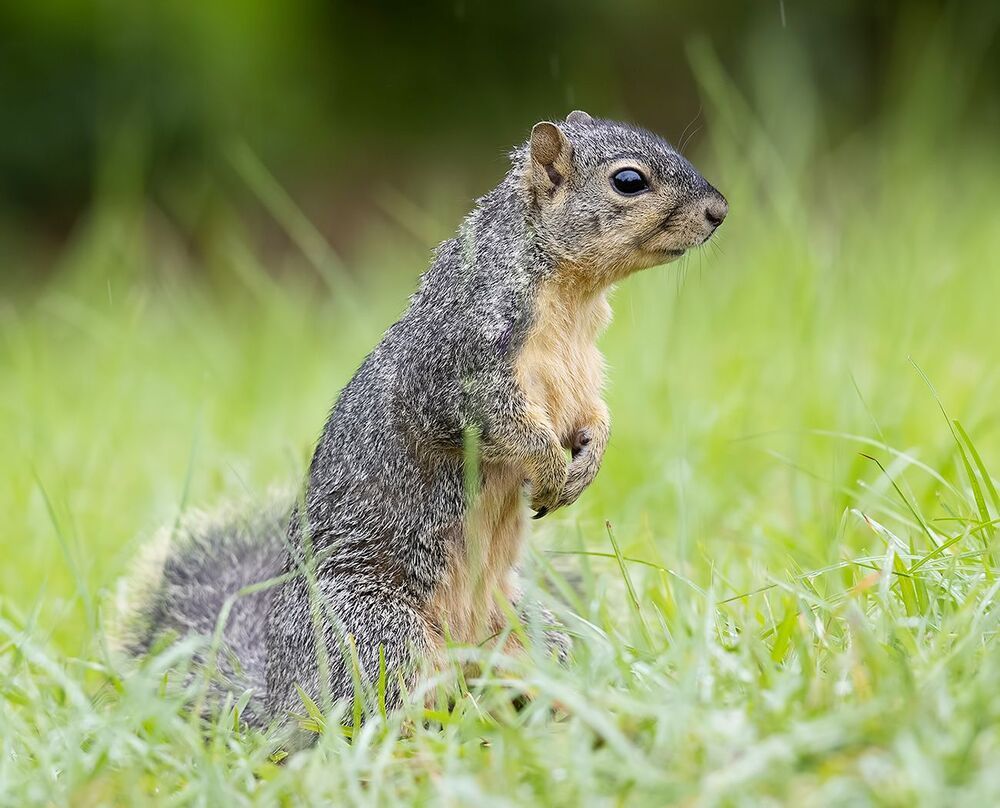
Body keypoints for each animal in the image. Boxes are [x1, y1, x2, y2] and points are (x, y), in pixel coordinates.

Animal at [115, 111, 727, 740]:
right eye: (628, 181)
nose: (719, 211)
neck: (571, 299)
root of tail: (280, 697)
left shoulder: (582, 376)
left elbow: (594, 417)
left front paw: (587, 464)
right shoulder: (457, 367)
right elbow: (502, 424)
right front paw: (552, 468)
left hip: (528, 632)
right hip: (375, 635)